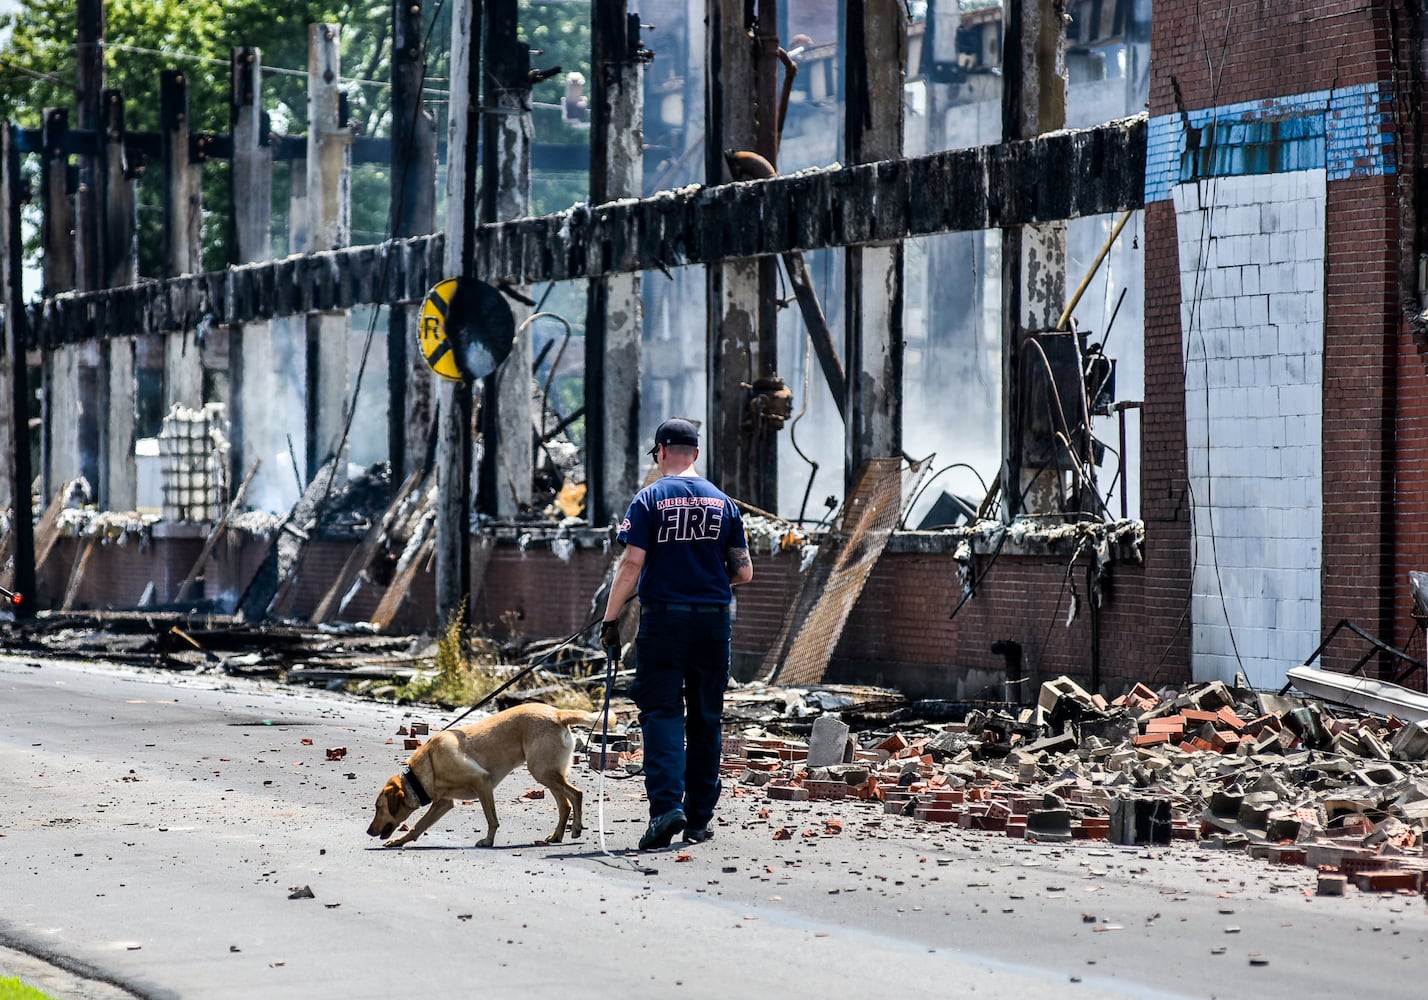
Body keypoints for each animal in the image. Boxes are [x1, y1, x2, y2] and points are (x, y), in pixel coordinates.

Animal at [368, 700, 602, 845]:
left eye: (378, 807)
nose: (368, 831)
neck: (428, 765)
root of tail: (558, 713)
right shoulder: (444, 803)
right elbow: (418, 826)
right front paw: (399, 841)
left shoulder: (481, 782)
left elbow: (492, 819)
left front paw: (488, 841)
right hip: (548, 773)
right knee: (565, 805)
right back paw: (557, 836)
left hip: (542, 772)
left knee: (576, 795)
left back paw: (576, 827)